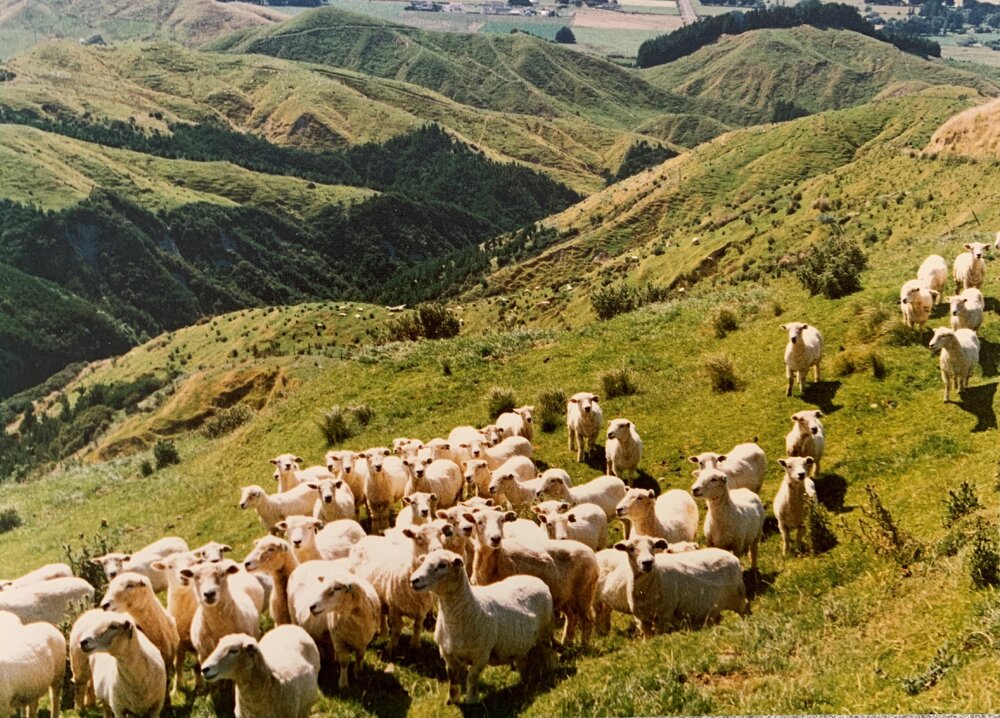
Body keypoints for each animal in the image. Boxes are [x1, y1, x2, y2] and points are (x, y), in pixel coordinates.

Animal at [347, 523, 446, 652]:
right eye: (419, 538)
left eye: (441, 534)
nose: (439, 550)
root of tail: (367, 537)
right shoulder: (394, 607)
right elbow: (396, 628)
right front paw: (391, 647)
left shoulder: (421, 611)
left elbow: (417, 627)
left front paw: (415, 645)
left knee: (381, 613)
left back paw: (384, 632)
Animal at [410, 549, 556, 705]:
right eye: (424, 561)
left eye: (443, 565)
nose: (414, 580)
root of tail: (536, 580)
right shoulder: (446, 653)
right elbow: (453, 679)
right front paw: (451, 700)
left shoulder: (481, 655)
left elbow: (471, 677)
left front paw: (471, 700)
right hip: (521, 643)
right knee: (523, 659)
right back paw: (524, 681)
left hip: (545, 629)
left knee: (548, 650)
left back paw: (551, 670)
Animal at [466, 508, 598, 646]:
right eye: (479, 522)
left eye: (502, 520)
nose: (495, 539)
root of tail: (590, 551)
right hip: (565, 596)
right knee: (571, 616)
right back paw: (566, 643)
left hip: (584, 592)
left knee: (588, 619)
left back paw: (584, 645)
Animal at [613, 536, 746, 637]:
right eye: (631, 548)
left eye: (653, 546)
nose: (647, 562)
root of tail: (733, 557)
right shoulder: (642, 619)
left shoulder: (664, 615)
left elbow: (660, 635)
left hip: (738, 598)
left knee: (745, 612)